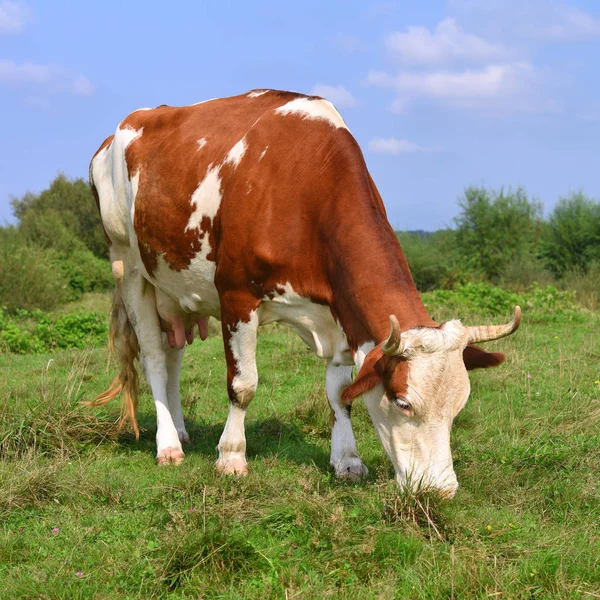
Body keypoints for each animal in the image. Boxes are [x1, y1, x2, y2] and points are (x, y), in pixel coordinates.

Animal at [88, 89, 520, 500]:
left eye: (458, 407)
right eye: (403, 402)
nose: (441, 490)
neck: (304, 188)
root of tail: (115, 135)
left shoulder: (340, 312)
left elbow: (340, 393)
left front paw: (347, 460)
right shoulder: (236, 296)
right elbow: (243, 385)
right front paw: (231, 457)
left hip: (174, 288)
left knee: (174, 354)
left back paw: (180, 430)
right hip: (128, 265)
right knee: (155, 359)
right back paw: (168, 446)